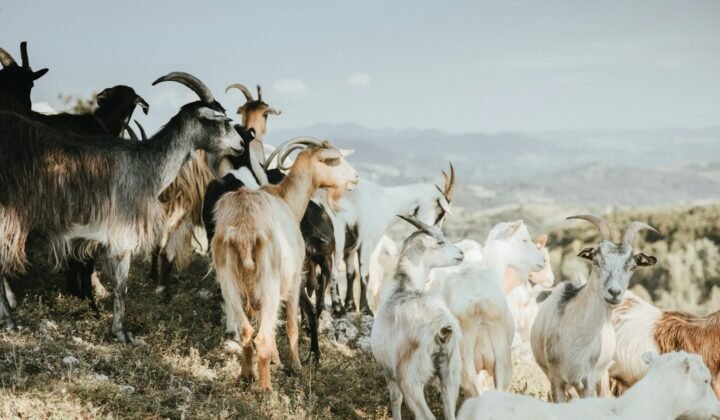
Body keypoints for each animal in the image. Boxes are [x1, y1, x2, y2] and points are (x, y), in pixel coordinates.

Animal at [0, 72, 243, 343]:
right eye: (222, 119)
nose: (241, 144)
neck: (145, 166)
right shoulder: (122, 234)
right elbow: (121, 286)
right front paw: (121, 332)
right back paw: (10, 321)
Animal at [211, 138, 357, 390]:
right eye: (335, 159)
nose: (355, 177)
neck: (286, 200)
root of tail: (244, 229)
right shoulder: (294, 279)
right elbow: (291, 325)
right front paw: (294, 364)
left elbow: (269, 324)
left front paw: (276, 360)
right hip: (268, 280)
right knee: (261, 336)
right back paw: (266, 389)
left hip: (230, 283)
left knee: (247, 331)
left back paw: (246, 376)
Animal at [333, 164, 456, 316]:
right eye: (442, 212)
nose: (435, 233)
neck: (384, 201)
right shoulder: (366, 242)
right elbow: (364, 274)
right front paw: (366, 309)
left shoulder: (350, 249)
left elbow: (351, 274)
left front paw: (350, 306)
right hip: (337, 241)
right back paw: (338, 309)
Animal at [371, 215, 464, 420]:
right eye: (440, 241)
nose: (461, 253)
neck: (403, 288)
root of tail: (442, 328)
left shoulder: (389, 372)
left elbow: (395, 400)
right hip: (450, 375)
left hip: (411, 379)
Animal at [531, 215, 658, 402]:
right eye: (596, 261)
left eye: (632, 266)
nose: (614, 292)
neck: (576, 338)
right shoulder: (557, 380)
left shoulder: (588, 381)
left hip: (603, 374)